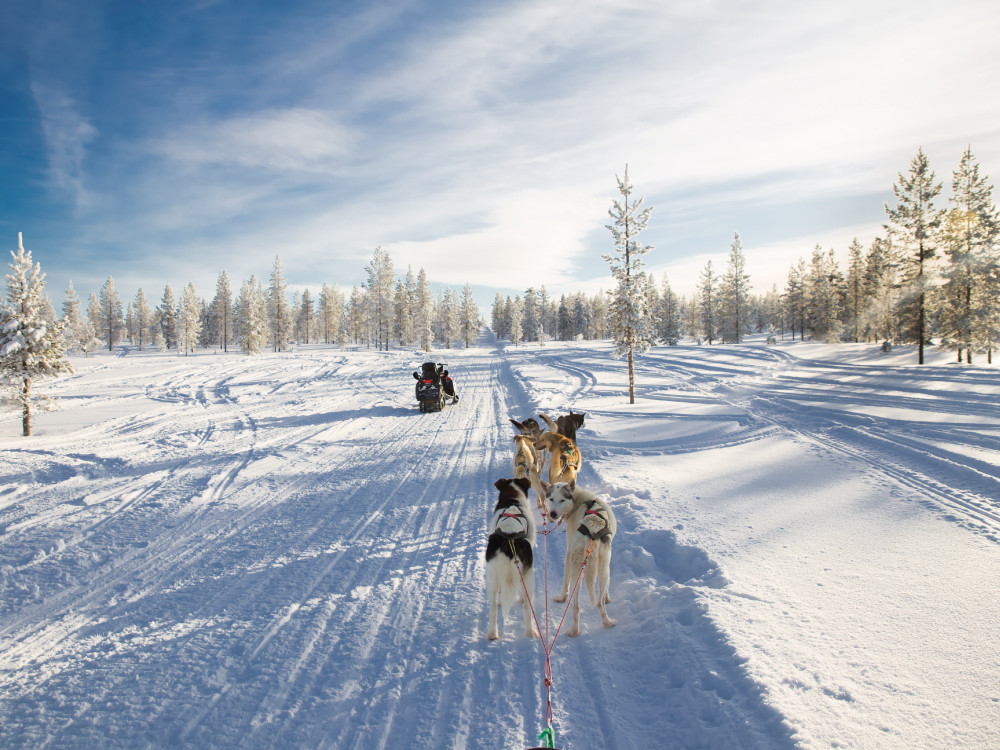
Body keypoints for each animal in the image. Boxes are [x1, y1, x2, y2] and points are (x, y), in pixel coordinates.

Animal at [484, 478, 540, 644]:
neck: (512, 500)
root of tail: (508, 540)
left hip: (491, 579)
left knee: (493, 611)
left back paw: (492, 633)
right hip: (529, 577)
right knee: (527, 608)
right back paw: (531, 632)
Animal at [544, 484, 612, 636]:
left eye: (562, 500)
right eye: (551, 499)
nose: (552, 514)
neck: (580, 501)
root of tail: (592, 531)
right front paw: (607, 597)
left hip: (580, 569)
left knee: (578, 606)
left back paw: (578, 629)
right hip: (599, 569)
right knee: (596, 603)